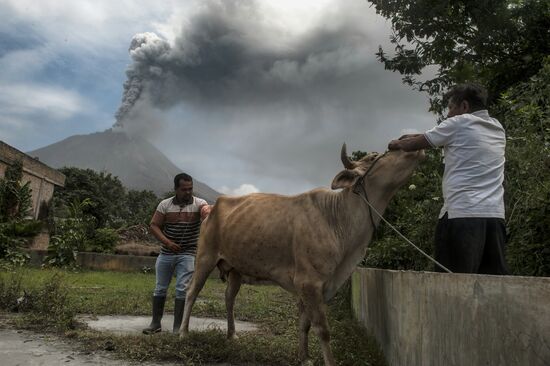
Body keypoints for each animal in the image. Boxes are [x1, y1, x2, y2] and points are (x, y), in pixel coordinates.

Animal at [181, 144, 426, 364]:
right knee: (192, 292)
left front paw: (304, 357)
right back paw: (183, 333)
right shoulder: (309, 282)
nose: (411, 146)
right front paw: (328, 362)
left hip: (236, 270)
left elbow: (305, 324)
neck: (339, 221)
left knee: (229, 298)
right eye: (376, 156)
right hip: (205, 257)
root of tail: (213, 207)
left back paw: (232, 334)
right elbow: (323, 329)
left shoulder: (315, 287)